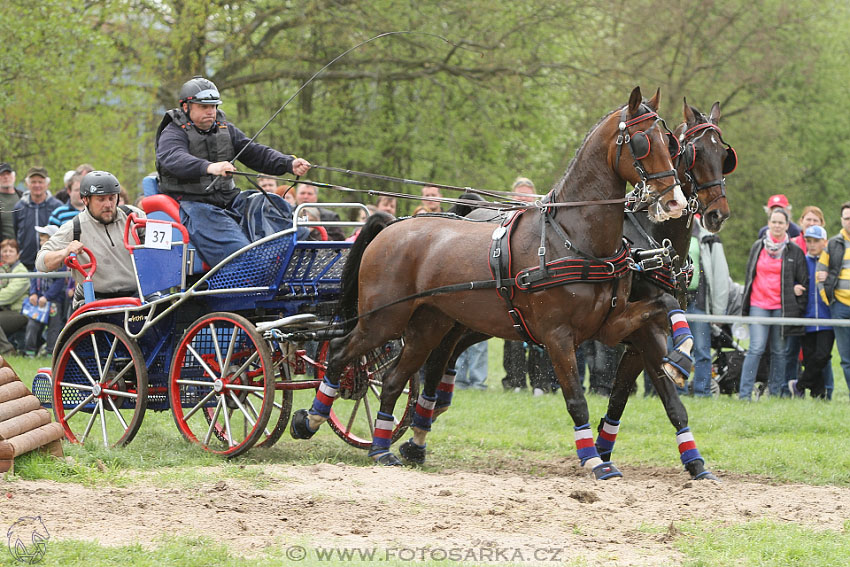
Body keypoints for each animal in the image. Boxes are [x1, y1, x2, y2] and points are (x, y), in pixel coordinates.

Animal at [294, 87, 688, 480]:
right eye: (642, 141)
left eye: (670, 142)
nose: (675, 201)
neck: (570, 238)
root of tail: (392, 225)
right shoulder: (558, 336)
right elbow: (576, 399)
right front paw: (595, 461)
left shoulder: (609, 325)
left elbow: (665, 307)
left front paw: (680, 357)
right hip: (383, 320)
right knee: (341, 352)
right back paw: (312, 418)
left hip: (427, 326)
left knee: (392, 379)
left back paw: (380, 448)